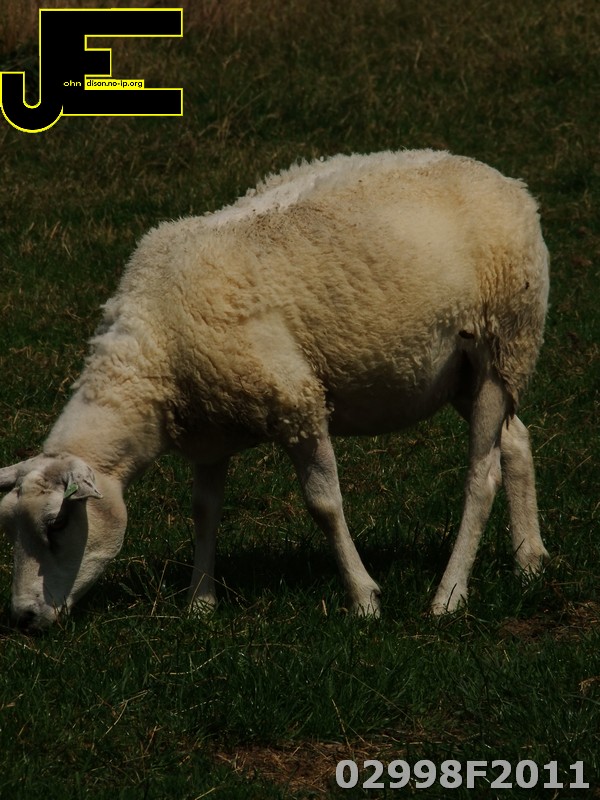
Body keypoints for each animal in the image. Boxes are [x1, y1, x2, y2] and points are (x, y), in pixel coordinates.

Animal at [0, 149, 550, 629]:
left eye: (57, 525)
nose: (24, 619)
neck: (154, 350)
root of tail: (510, 182)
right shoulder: (209, 427)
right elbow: (204, 511)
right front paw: (200, 604)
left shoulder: (297, 404)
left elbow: (324, 506)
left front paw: (363, 600)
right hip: (463, 373)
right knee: (515, 441)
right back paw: (529, 561)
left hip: (503, 342)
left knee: (481, 477)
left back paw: (449, 596)